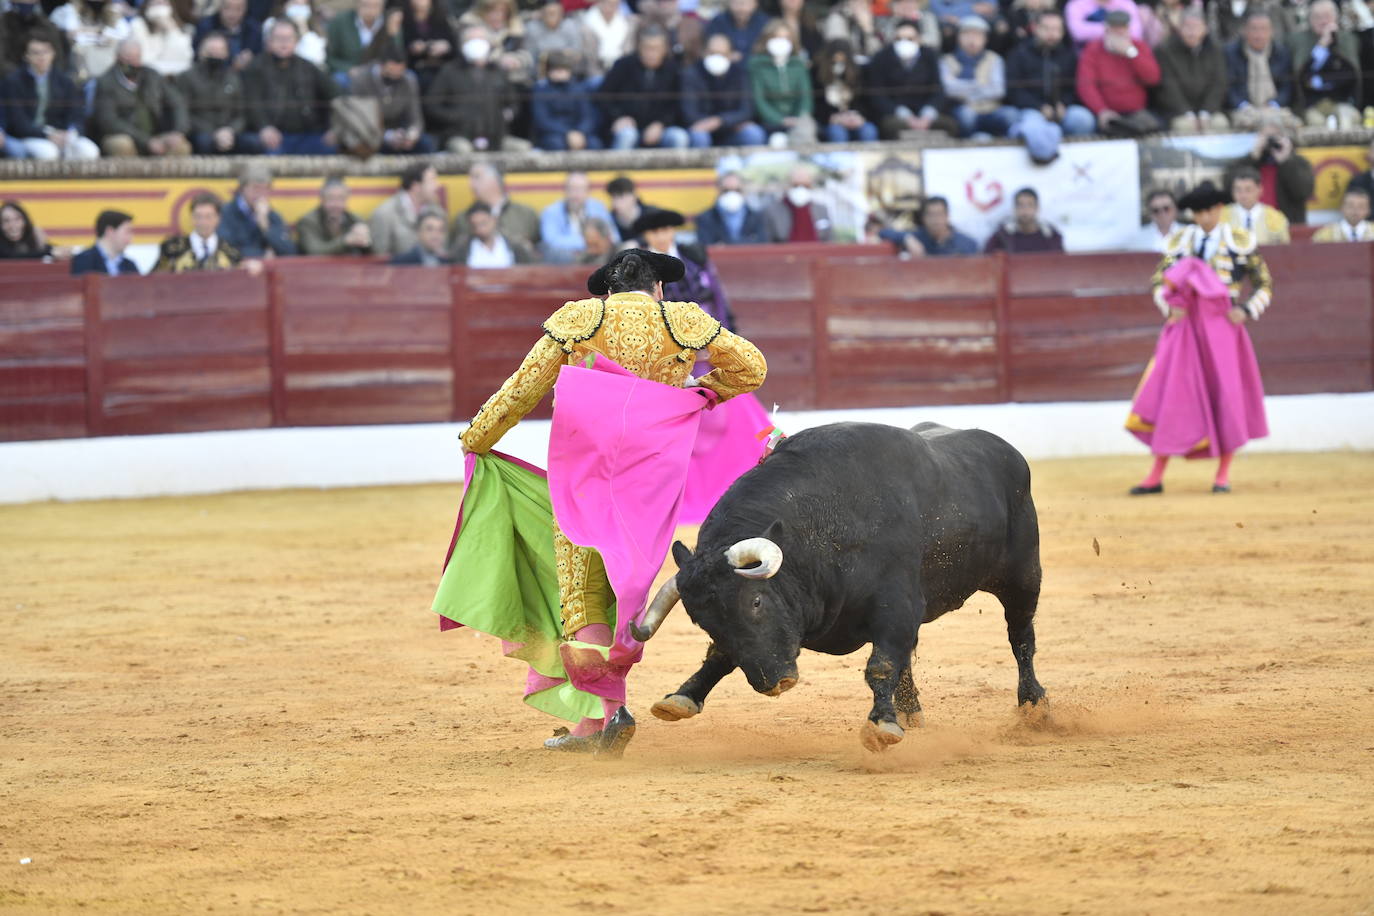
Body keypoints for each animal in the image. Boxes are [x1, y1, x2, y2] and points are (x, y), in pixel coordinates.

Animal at [629, 422, 1044, 752]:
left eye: (757, 602)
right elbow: (719, 655)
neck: (821, 527)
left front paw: (882, 725)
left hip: (1023, 578)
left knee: (1021, 638)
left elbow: (881, 664)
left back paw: (1034, 706)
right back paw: (911, 712)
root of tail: (1008, 453)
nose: (774, 683)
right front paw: (681, 697)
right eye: (701, 621)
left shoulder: (897, 605)